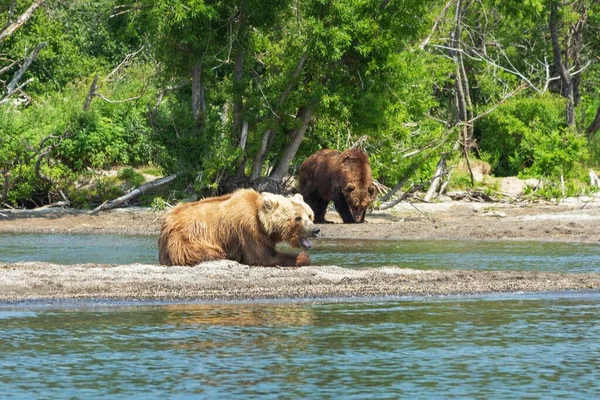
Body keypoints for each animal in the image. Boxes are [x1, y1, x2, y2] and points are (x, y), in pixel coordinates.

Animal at [158, 189, 318, 268]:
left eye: (310, 215)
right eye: (298, 218)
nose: (315, 230)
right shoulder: (248, 229)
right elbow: (262, 256)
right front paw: (302, 257)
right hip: (187, 238)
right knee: (202, 252)